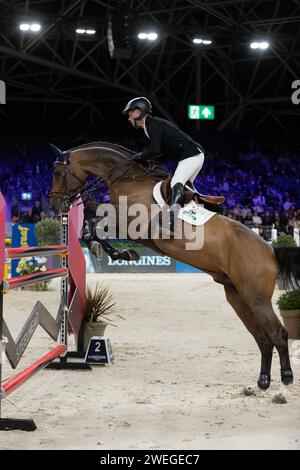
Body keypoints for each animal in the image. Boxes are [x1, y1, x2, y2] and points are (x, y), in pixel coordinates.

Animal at [49, 140, 300, 400]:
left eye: (57, 172)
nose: (54, 204)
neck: (128, 178)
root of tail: (271, 251)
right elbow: (91, 213)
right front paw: (115, 252)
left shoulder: (132, 223)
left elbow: (94, 215)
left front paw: (116, 252)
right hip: (238, 296)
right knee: (262, 338)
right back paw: (260, 384)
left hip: (256, 298)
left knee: (279, 334)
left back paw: (284, 386)